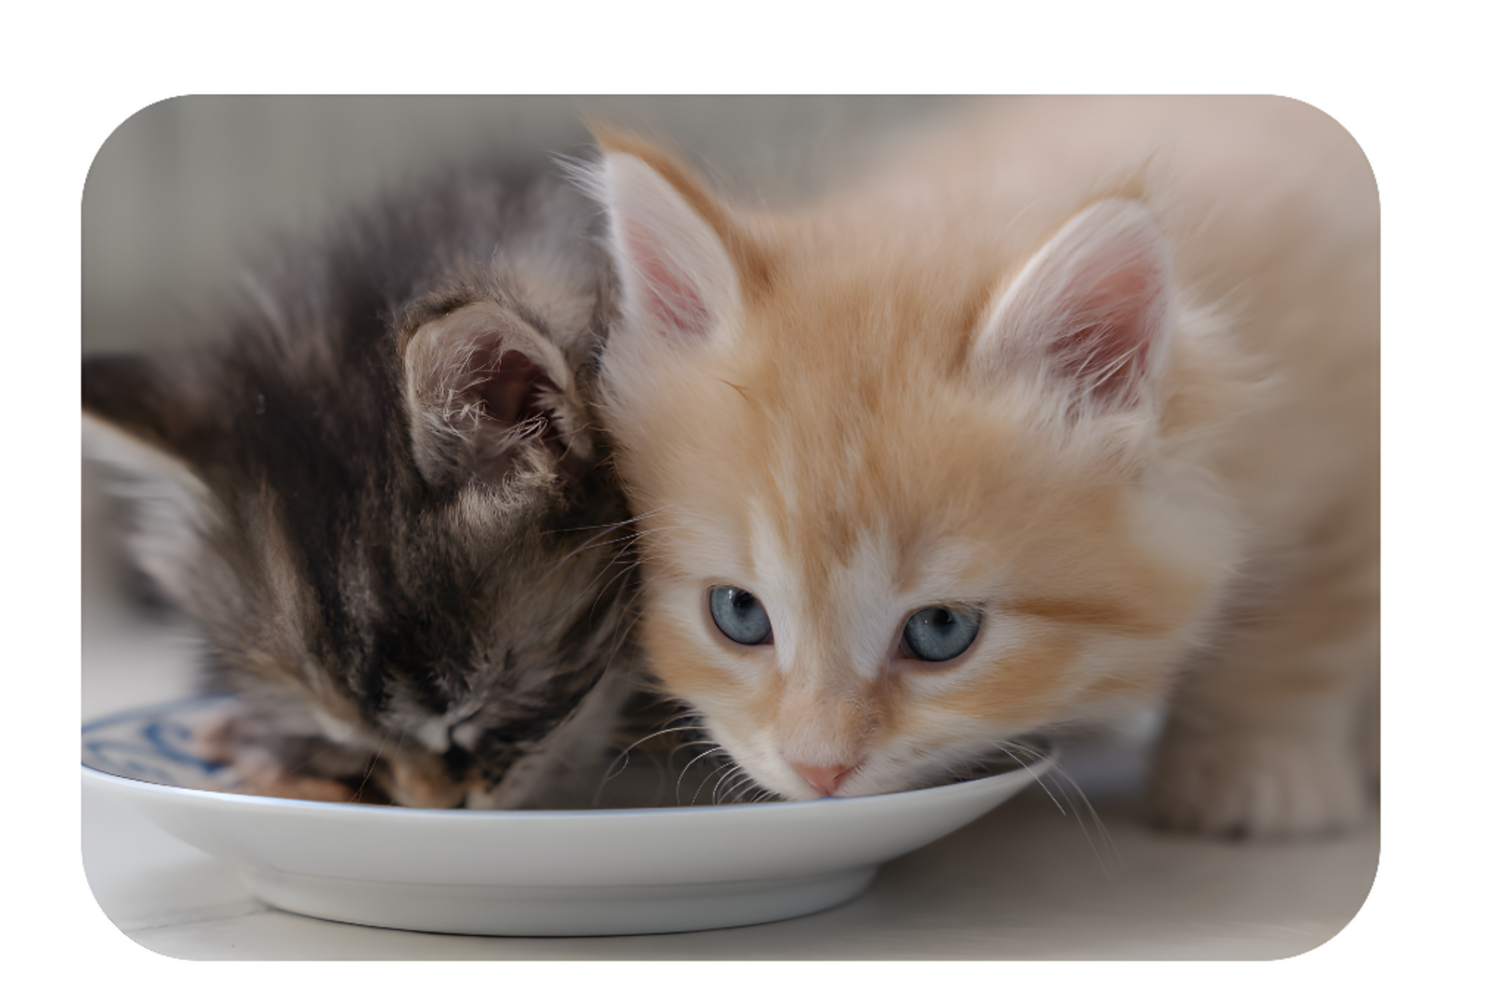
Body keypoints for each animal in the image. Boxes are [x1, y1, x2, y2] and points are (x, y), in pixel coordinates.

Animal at [582, 97, 1374, 834]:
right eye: (738, 613)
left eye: (941, 629)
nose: (819, 769)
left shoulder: (1343, 462)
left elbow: (1300, 629)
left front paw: (1258, 766)